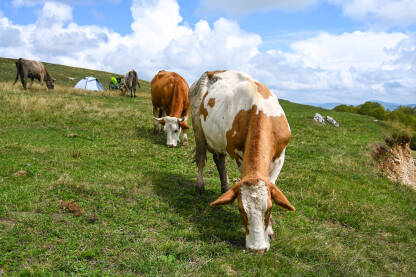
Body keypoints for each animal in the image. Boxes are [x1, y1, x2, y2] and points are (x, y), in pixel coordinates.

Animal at [190, 69, 294, 252]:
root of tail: (210, 72)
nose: (257, 249)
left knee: (219, 159)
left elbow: (272, 184)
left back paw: (225, 188)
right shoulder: (238, 154)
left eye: (269, 208)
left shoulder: (280, 156)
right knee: (201, 158)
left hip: (218, 139)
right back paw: (200, 186)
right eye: (241, 209)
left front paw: (270, 227)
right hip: (198, 129)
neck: (260, 111)